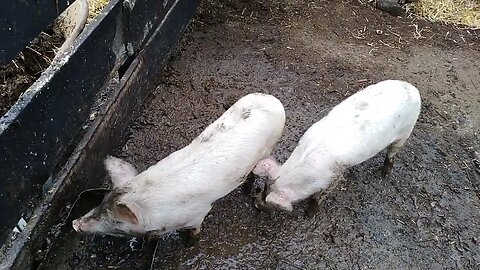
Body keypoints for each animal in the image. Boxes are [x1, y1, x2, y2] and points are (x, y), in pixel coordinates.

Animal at [72, 93, 284, 238]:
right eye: (102, 200)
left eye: (116, 221)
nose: (75, 223)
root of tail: (273, 100)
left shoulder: (198, 213)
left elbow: (195, 229)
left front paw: (190, 240)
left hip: (269, 146)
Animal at [253, 79, 422, 214]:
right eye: (265, 186)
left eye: (273, 204)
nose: (256, 204)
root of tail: (413, 88)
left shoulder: (333, 177)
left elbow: (320, 196)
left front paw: (310, 214)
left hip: (406, 131)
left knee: (393, 153)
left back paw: (385, 173)